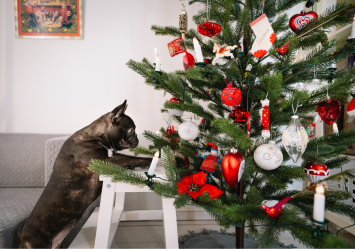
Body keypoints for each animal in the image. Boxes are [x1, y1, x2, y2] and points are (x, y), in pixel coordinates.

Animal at [18, 100, 152, 248]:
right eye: (131, 130)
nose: (137, 138)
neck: (95, 137)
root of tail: (21, 235)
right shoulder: (102, 161)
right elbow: (129, 159)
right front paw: (149, 161)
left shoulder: (113, 155)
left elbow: (131, 157)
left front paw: (150, 159)